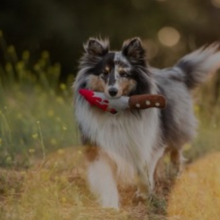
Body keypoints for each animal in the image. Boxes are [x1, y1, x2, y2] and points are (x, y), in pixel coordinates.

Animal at [72, 37, 220, 208]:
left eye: (124, 73)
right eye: (105, 72)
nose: (112, 92)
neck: (116, 113)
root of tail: (175, 72)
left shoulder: (147, 142)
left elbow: (142, 172)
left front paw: (144, 194)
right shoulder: (99, 147)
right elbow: (106, 179)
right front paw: (111, 206)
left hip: (177, 127)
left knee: (176, 152)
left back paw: (175, 175)